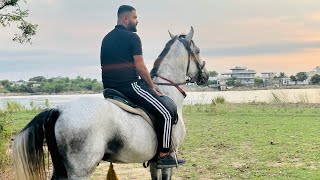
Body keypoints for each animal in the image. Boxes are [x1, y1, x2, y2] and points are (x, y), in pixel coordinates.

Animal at [12, 26, 209, 179]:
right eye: (198, 51)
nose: (206, 76)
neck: (166, 90)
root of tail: (59, 110)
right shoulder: (170, 158)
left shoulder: (155, 163)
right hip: (81, 171)